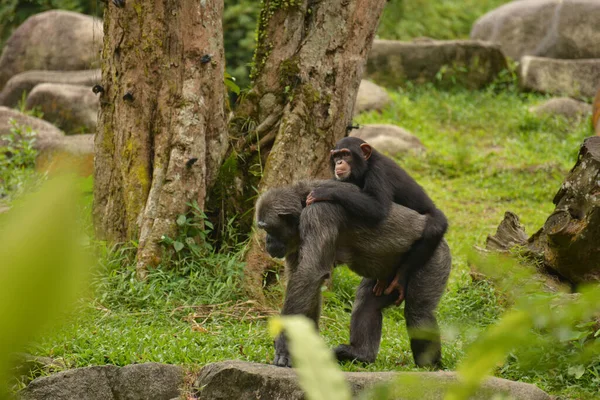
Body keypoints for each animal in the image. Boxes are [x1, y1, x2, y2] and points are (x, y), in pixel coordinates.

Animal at [254, 181, 450, 368]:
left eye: (268, 229)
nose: (267, 241)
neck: (303, 205)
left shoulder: (318, 215)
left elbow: (310, 273)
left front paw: (284, 346)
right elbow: (306, 283)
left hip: (433, 260)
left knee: (419, 314)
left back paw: (429, 365)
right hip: (387, 278)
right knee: (367, 304)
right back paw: (360, 353)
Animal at [308, 137, 448, 304]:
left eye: (346, 154)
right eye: (336, 156)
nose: (339, 162)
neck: (365, 166)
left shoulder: (379, 172)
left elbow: (377, 207)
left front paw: (324, 191)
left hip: (436, 218)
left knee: (434, 229)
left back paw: (400, 277)